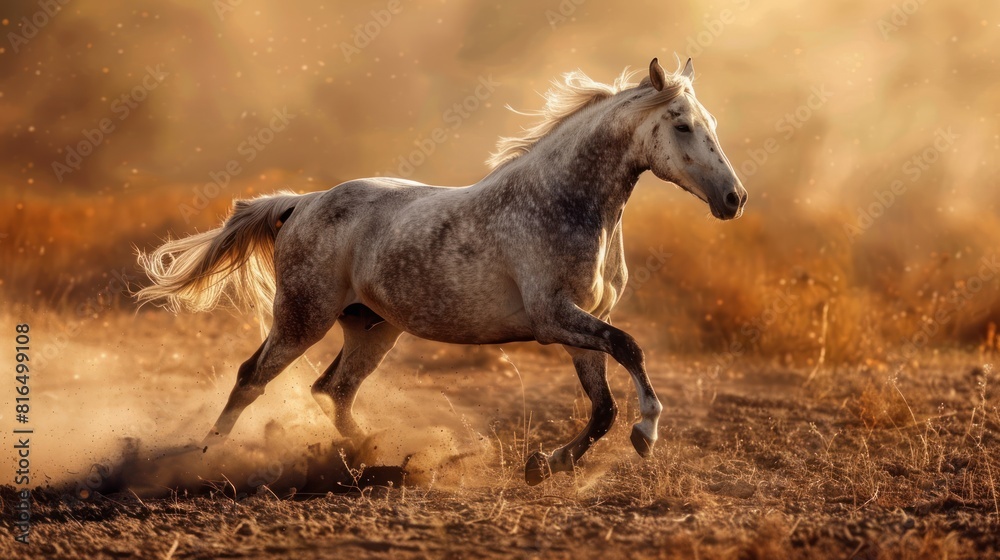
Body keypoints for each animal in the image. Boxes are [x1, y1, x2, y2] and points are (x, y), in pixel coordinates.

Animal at [136, 57, 747, 485]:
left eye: (713, 122)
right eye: (683, 125)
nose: (734, 199)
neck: (563, 202)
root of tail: (302, 202)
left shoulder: (579, 325)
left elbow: (602, 408)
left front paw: (541, 466)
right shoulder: (553, 318)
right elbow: (630, 350)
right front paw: (647, 433)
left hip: (371, 326)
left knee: (332, 390)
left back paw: (382, 458)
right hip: (302, 318)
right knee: (252, 379)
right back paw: (204, 459)